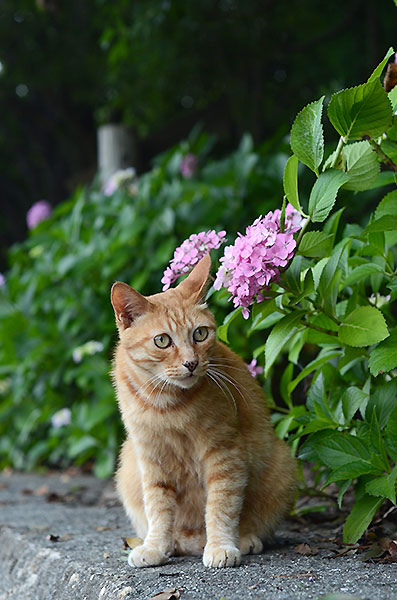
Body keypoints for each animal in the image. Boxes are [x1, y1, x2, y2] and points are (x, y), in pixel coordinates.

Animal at [110, 253, 296, 568]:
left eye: (199, 334)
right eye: (162, 340)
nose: (191, 363)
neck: (167, 404)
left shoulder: (224, 454)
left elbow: (221, 506)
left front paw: (221, 546)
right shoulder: (151, 459)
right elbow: (158, 509)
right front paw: (156, 547)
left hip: (281, 464)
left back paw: (242, 540)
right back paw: (174, 544)